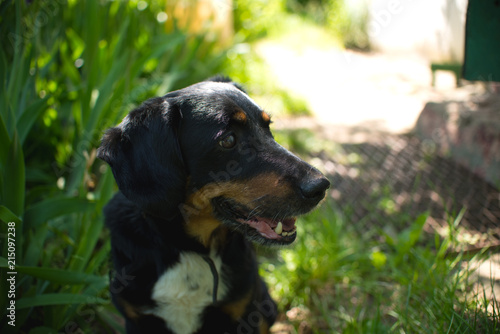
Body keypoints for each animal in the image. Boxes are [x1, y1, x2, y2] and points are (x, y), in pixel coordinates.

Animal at [98, 77, 330, 332]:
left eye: (268, 127)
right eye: (227, 140)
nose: (321, 186)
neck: (191, 250)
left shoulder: (246, 312)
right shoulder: (136, 319)